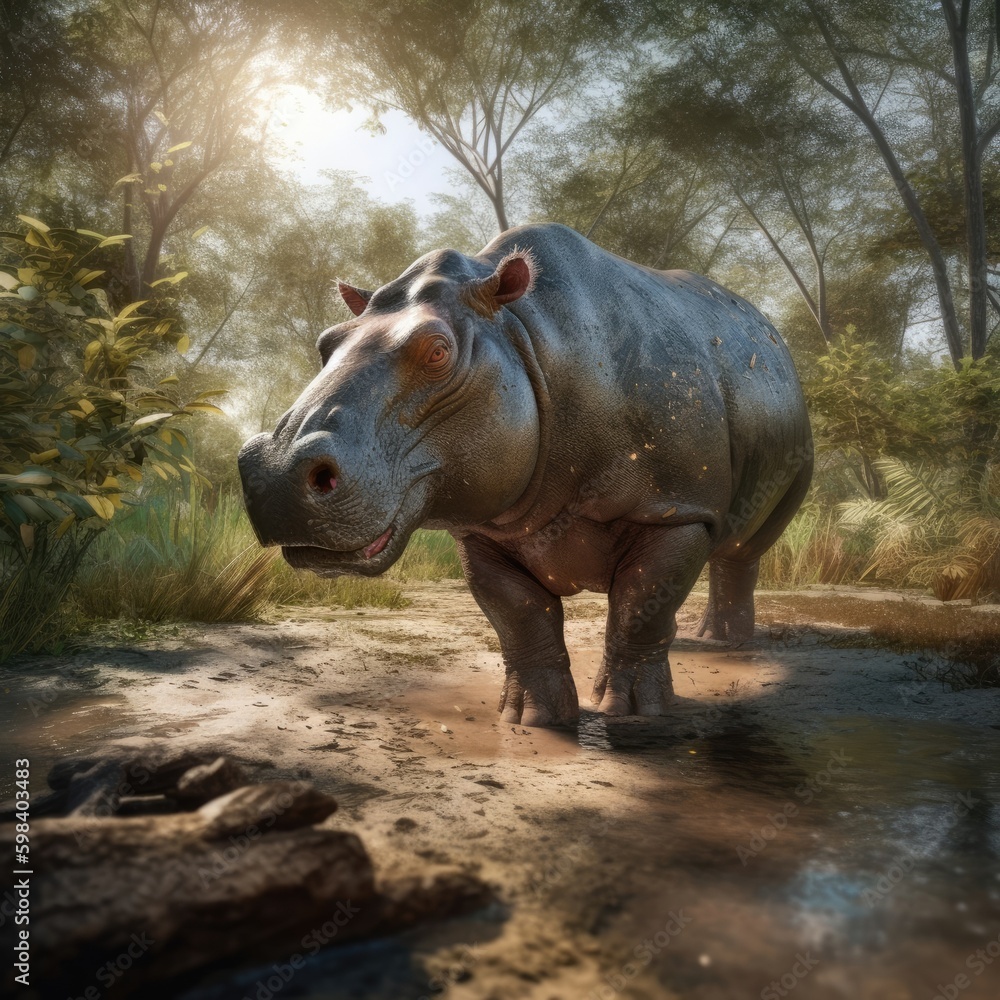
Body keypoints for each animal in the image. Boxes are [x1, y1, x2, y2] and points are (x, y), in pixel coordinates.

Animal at [238, 223, 812, 728]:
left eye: (439, 351)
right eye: (325, 344)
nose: (276, 474)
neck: (524, 338)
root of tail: (774, 338)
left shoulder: (675, 509)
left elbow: (640, 606)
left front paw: (633, 712)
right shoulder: (483, 529)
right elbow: (518, 617)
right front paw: (532, 719)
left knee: (741, 552)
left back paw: (726, 644)